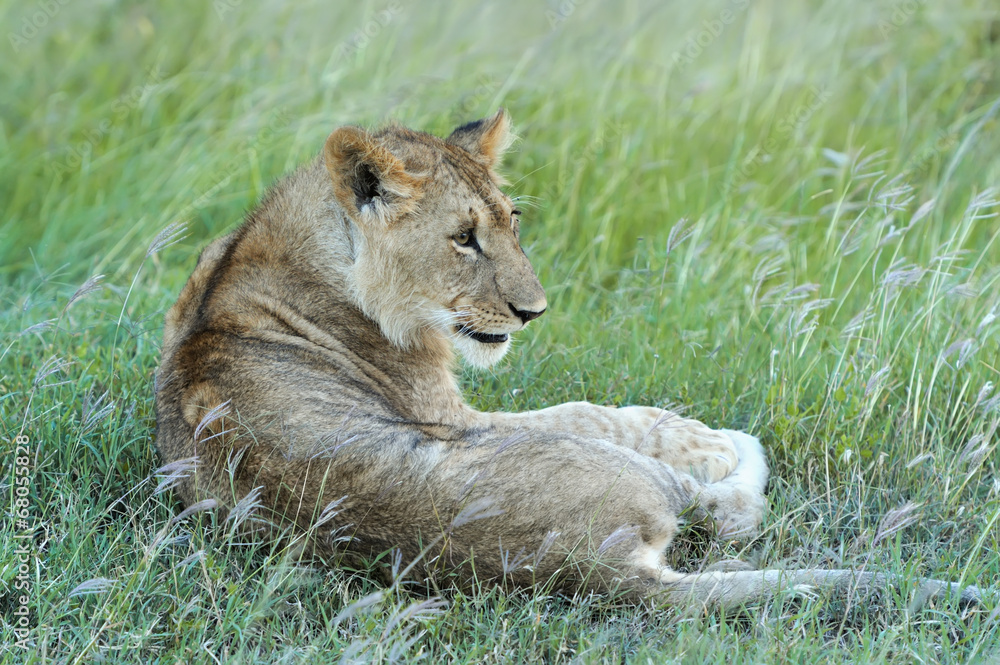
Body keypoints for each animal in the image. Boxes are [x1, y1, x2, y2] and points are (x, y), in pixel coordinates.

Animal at [155, 109, 979, 610]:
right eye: (463, 238)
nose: (534, 311)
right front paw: (708, 437)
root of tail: (596, 572)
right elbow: (599, 411)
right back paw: (738, 458)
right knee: (730, 511)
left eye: (512, 220)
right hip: (629, 478)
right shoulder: (454, 413)